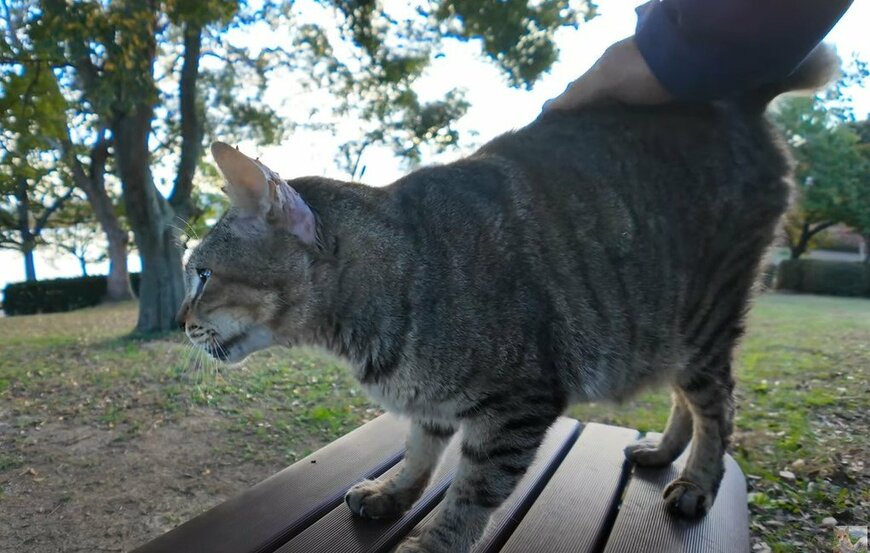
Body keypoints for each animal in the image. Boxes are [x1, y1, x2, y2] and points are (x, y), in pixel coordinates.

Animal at [177, 46, 836, 552]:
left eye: (202, 274)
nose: (178, 320)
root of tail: (741, 102)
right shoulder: (431, 400)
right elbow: (418, 452)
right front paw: (393, 494)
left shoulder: (518, 406)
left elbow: (470, 497)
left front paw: (432, 544)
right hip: (667, 329)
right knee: (686, 398)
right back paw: (662, 451)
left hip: (704, 319)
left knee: (718, 406)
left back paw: (698, 481)